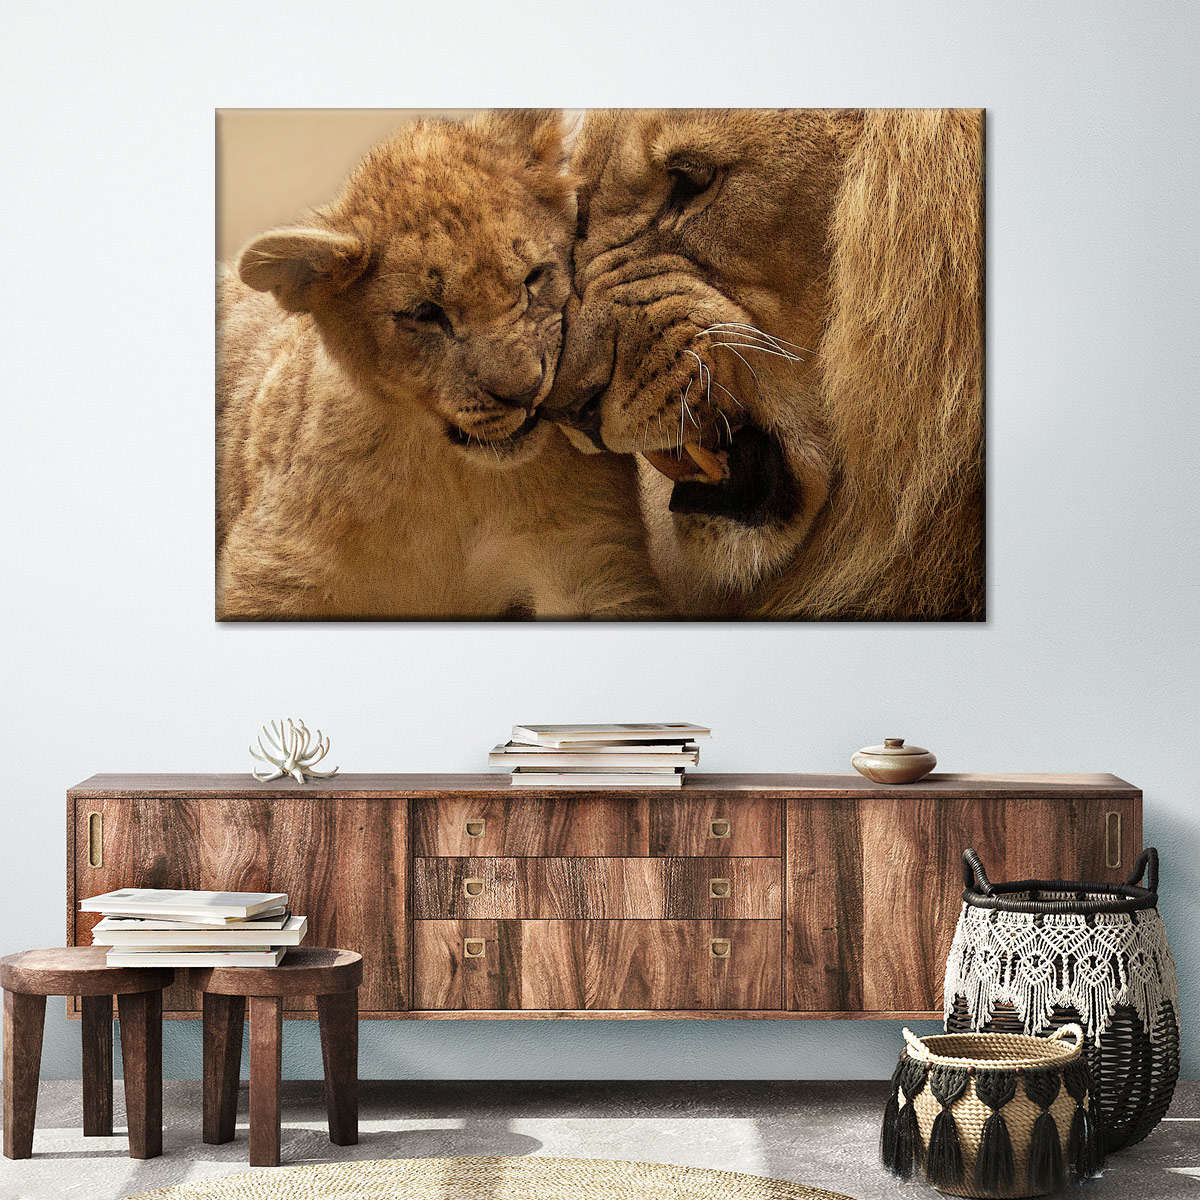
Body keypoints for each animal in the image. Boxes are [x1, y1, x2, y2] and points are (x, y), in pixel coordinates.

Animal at [217, 109, 661, 619]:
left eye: (534, 277)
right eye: (425, 313)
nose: (527, 392)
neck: (454, 477)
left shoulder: (588, 555)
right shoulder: (276, 570)